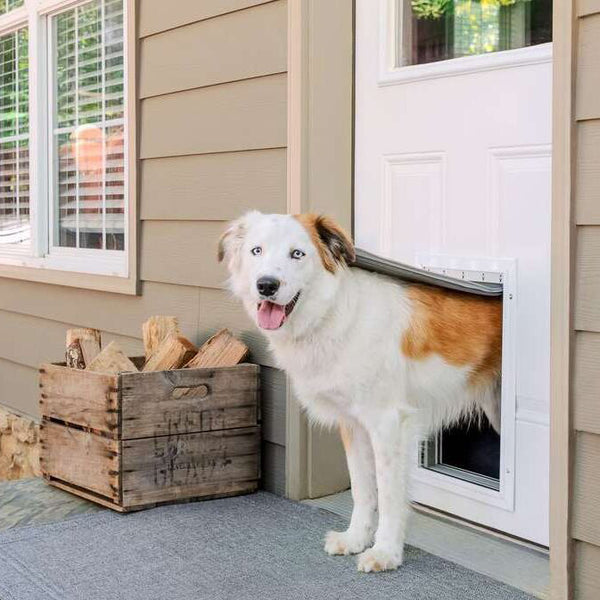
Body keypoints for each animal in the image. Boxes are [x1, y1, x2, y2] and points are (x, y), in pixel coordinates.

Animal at [218, 211, 504, 572]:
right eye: (257, 250)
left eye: (297, 254)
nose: (266, 286)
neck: (336, 315)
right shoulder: (353, 425)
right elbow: (362, 488)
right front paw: (355, 539)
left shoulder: (388, 424)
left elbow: (390, 493)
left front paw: (386, 552)